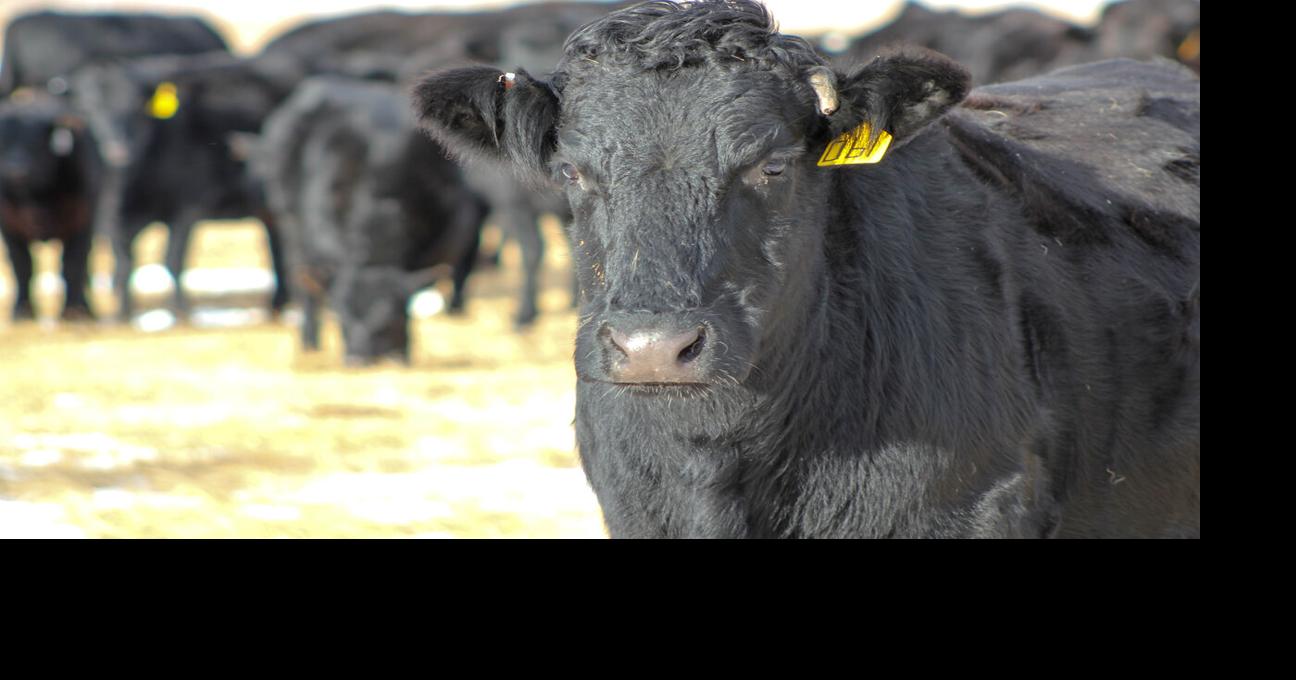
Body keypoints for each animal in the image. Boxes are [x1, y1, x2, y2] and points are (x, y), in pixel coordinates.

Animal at [0, 92, 100, 321]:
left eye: (35, 143)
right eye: (2, 143)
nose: (14, 172)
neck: (38, 198)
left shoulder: (82, 223)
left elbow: (73, 265)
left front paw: (73, 310)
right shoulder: (9, 227)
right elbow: (22, 266)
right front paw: (22, 309)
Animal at [257, 77, 486, 364]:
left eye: (389, 319)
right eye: (341, 315)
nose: (358, 358)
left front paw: (404, 351)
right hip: (290, 223)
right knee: (305, 283)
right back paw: (310, 344)